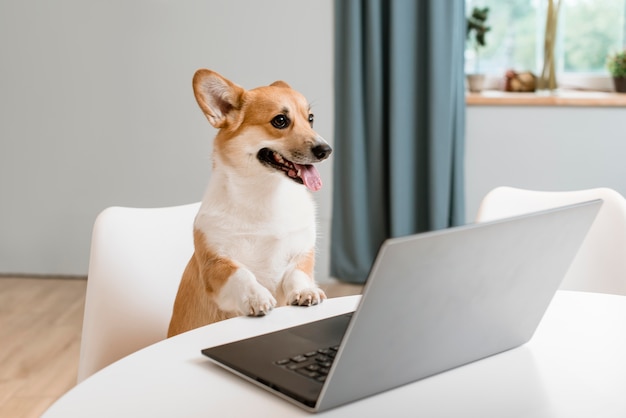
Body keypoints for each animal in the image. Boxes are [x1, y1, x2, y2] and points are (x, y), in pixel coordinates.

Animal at [166, 68, 332, 336]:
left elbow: (298, 274)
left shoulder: (302, 253)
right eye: (280, 121)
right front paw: (257, 297)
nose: (326, 150)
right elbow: (241, 273)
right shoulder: (215, 263)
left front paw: (307, 291)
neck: (266, 193)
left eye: (311, 118)